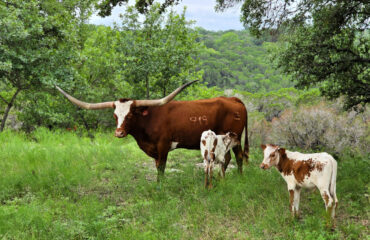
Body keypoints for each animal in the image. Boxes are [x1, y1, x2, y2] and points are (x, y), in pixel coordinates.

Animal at [56, 80, 249, 180]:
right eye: (115, 115)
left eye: (130, 115)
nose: (119, 133)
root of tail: (233, 99)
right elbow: (157, 167)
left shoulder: (163, 146)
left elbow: (161, 168)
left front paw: (160, 186)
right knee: (228, 158)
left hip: (235, 138)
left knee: (239, 157)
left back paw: (239, 178)